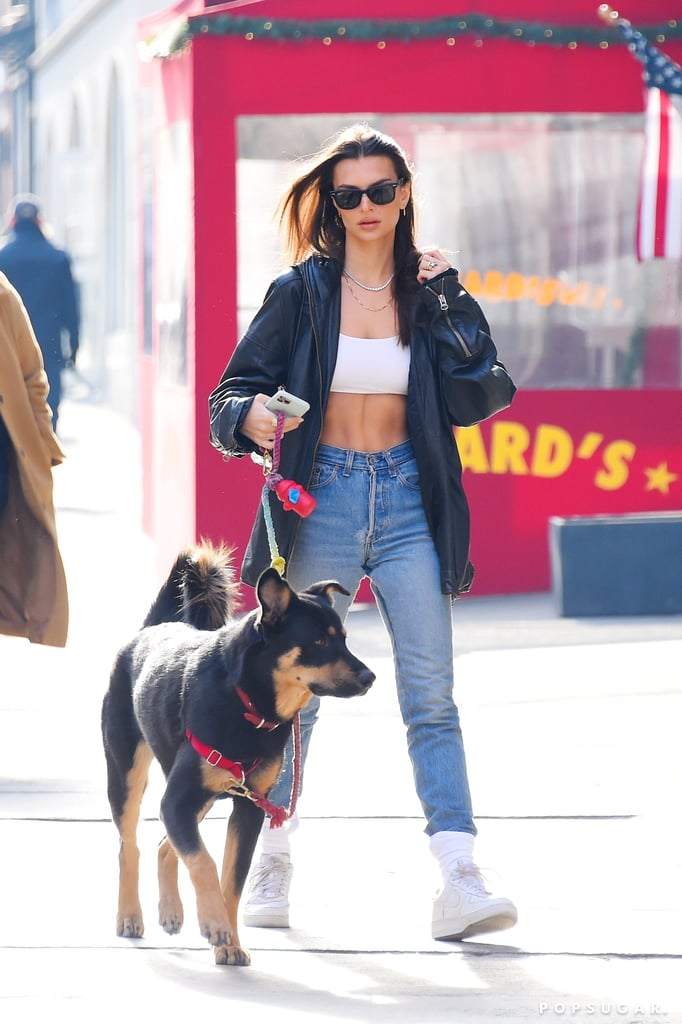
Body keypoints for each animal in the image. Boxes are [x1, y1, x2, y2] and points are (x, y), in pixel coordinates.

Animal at [100, 544, 372, 966]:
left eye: (343, 638)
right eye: (320, 642)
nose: (369, 677)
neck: (249, 704)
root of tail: (150, 629)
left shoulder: (248, 807)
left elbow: (231, 879)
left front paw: (229, 943)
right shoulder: (179, 800)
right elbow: (204, 861)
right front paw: (214, 923)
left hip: (202, 797)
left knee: (164, 846)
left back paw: (171, 911)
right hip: (127, 773)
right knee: (130, 845)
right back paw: (129, 915)